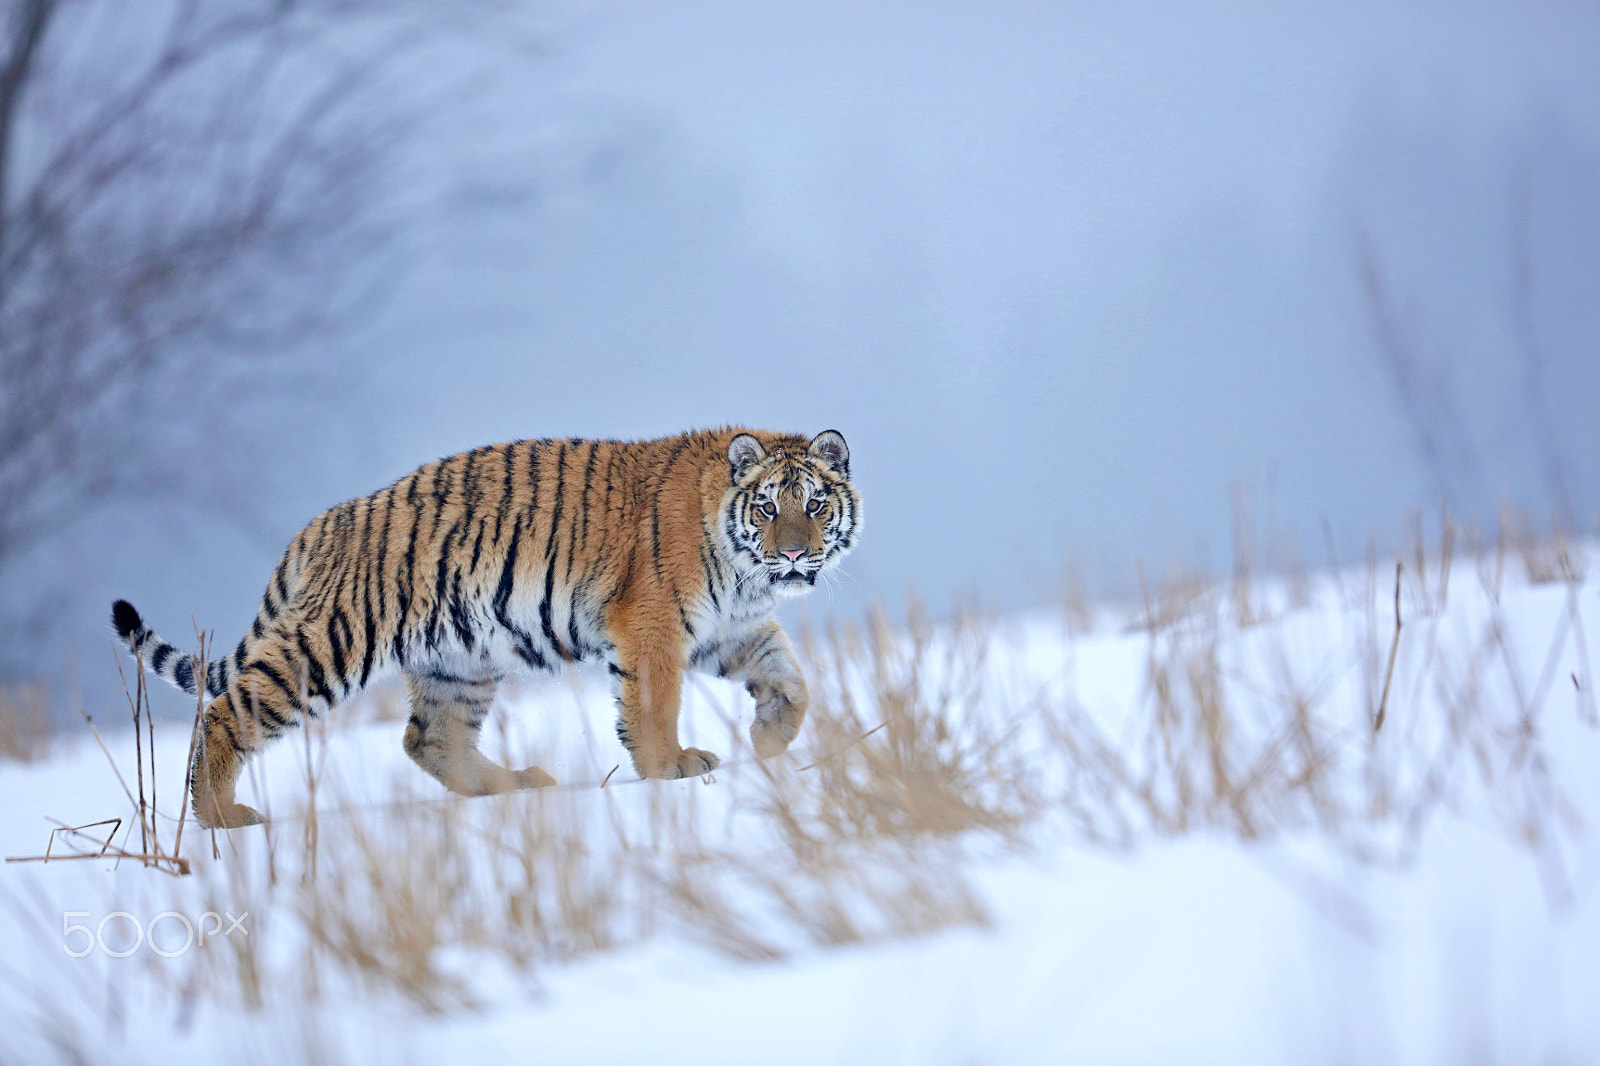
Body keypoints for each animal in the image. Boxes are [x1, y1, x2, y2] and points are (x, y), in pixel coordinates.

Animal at [109, 428, 864, 825]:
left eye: (815, 505)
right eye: (768, 508)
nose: (794, 554)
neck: (748, 574)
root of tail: (322, 524)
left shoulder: (731, 627)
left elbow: (791, 677)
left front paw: (771, 737)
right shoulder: (653, 625)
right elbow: (654, 706)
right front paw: (671, 768)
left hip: (458, 661)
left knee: (428, 739)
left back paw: (513, 786)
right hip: (331, 643)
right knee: (225, 713)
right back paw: (222, 820)